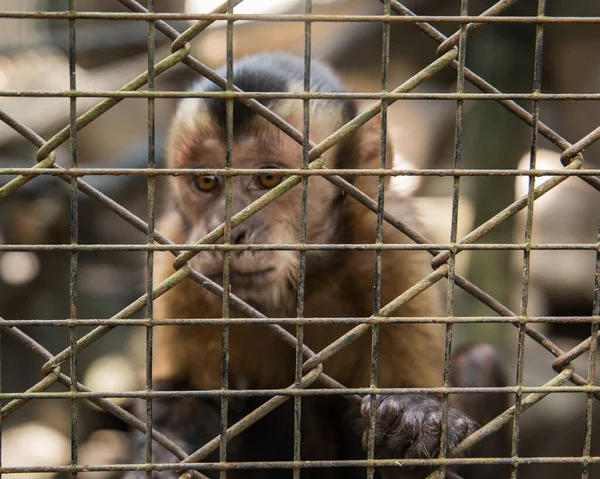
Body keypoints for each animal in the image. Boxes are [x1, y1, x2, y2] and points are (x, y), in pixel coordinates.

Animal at [125, 53, 506, 479]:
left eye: (269, 178)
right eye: (207, 181)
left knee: (480, 361)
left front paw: (415, 424)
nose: (226, 230)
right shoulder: (177, 262)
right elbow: (185, 398)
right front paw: (160, 459)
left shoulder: (391, 249)